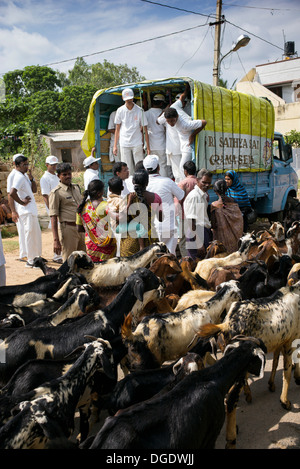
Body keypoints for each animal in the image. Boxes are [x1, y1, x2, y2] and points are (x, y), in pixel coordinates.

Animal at [198, 280, 300, 408]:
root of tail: (226, 324)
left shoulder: (280, 341)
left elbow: (275, 363)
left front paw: (272, 384)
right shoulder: (290, 342)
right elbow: (288, 371)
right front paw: (285, 401)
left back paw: (248, 394)